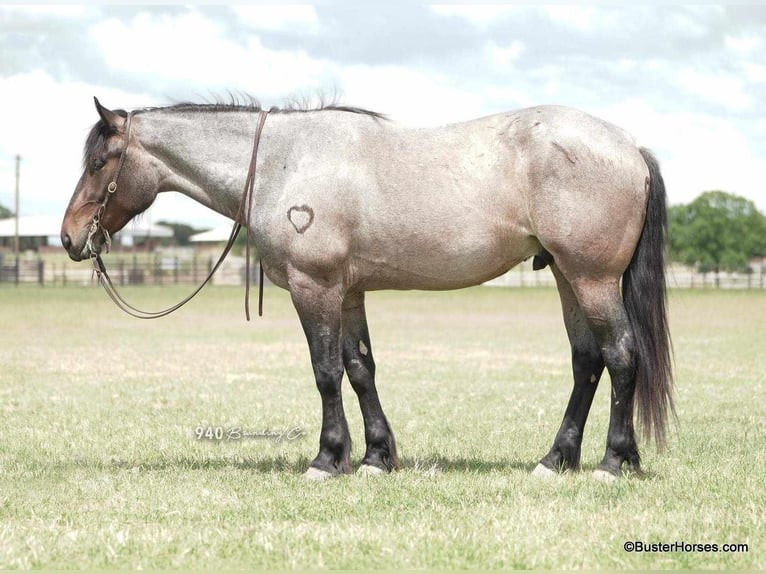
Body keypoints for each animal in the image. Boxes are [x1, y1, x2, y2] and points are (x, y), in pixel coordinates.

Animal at [60, 98, 676, 482]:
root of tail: (629, 148)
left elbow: (326, 371)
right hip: (569, 278)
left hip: (591, 279)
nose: (68, 237)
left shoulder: (314, 287)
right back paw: (556, 459)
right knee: (587, 360)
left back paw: (612, 462)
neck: (286, 160)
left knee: (621, 356)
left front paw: (327, 458)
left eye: (99, 163)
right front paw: (377, 457)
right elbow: (360, 369)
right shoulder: (348, 292)